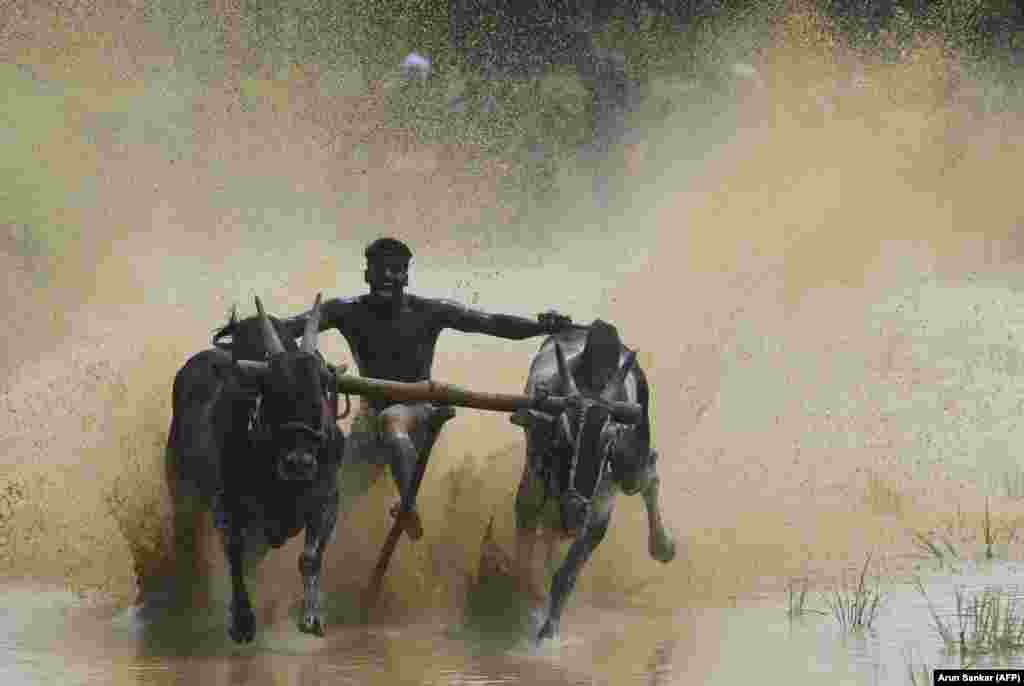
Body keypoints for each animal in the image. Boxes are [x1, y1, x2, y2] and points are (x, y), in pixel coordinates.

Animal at [164, 294, 344, 647]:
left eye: (322, 385)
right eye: (270, 387)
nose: (299, 462)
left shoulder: (327, 498)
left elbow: (310, 558)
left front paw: (311, 616)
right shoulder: (226, 505)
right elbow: (234, 554)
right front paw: (243, 621)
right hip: (182, 491)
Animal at [509, 319, 671, 642]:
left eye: (608, 441)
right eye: (561, 436)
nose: (574, 509)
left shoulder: (598, 512)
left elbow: (566, 576)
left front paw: (547, 632)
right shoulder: (532, 488)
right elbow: (526, 556)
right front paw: (528, 604)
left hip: (630, 470)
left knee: (648, 472)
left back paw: (662, 547)